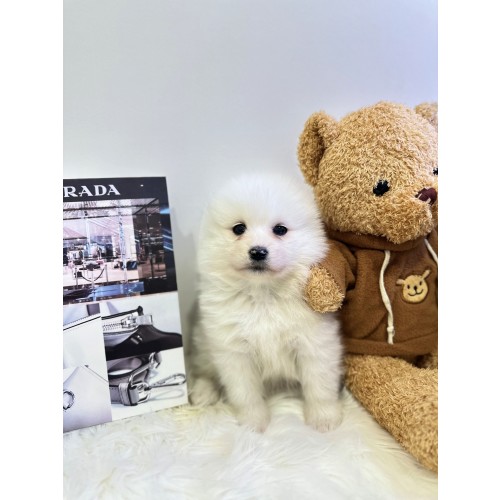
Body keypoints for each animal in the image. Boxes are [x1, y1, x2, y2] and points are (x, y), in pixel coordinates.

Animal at [188, 172, 344, 432]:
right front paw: (253, 424)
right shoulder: (234, 351)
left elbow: (319, 386)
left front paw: (323, 419)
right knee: (205, 368)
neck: (263, 296)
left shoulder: (314, 345)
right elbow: (245, 393)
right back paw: (203, 392)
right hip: (205, 343)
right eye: (239, 228)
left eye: (280, 230)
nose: (258, 252)